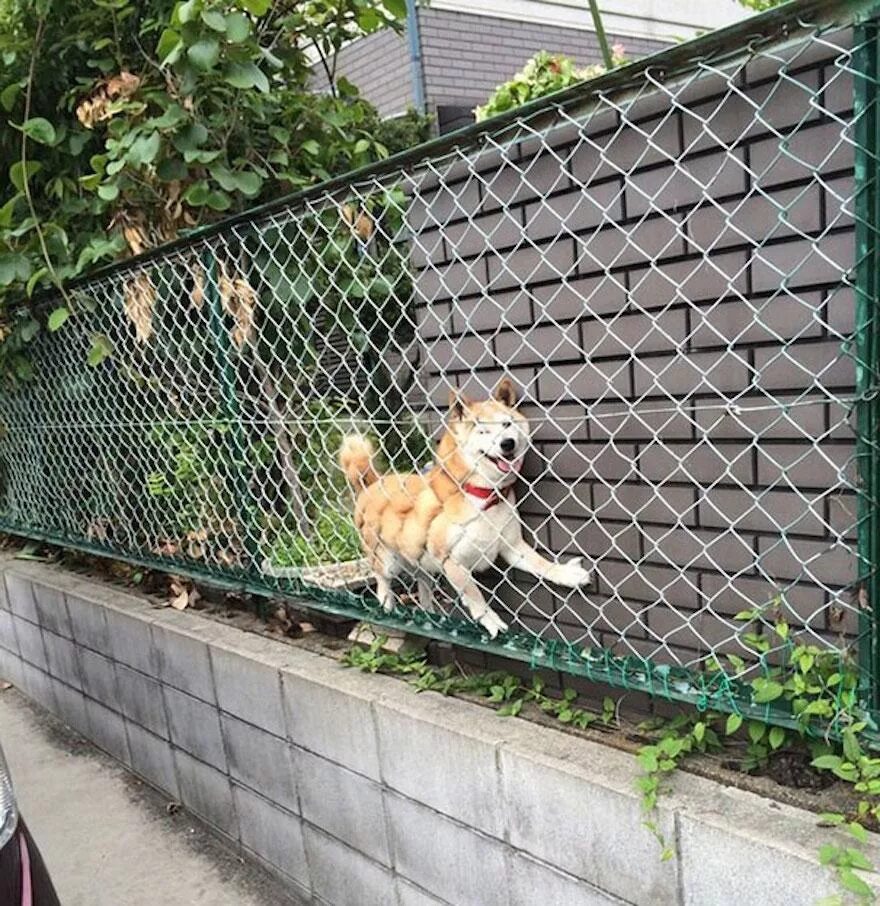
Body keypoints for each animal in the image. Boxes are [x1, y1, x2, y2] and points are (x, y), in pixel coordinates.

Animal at [336, 378, 592, 640]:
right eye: (482, 430)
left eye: (507, 424)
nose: (507, 443)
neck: (485, 497)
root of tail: (372, 483)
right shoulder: (451, 560)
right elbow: (474, 594)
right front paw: (490, 620)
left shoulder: (511, 545)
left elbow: (540, 564)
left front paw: (565, 574)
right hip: (387, 560)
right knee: (381, 578)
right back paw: (387, 601)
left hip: (420, 560)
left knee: (423, 584)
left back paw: (429, 612)